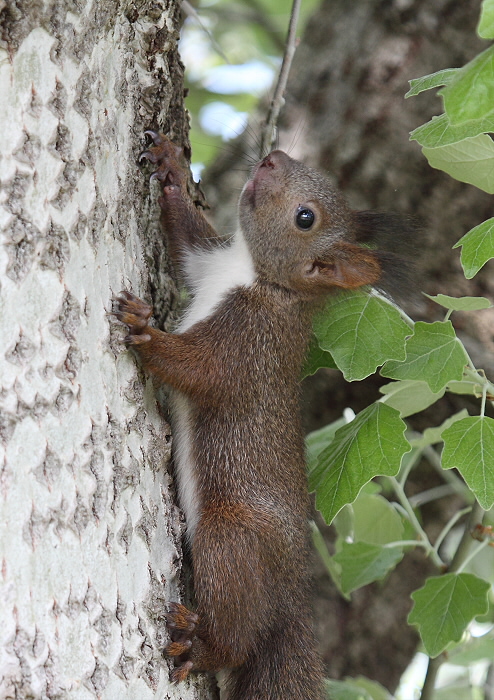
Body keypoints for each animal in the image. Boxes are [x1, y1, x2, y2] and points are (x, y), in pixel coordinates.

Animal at [114, 133, 414, 700]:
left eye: (306, 218)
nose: (274, 158)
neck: (253, 274)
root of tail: (293, 605)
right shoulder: (206, 262)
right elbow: (187, 237)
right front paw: (170, 166)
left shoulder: (249, 343)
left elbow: (197, 369)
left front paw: (144, 330)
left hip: (233, 534)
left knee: (238, 633)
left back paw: (203, 646)